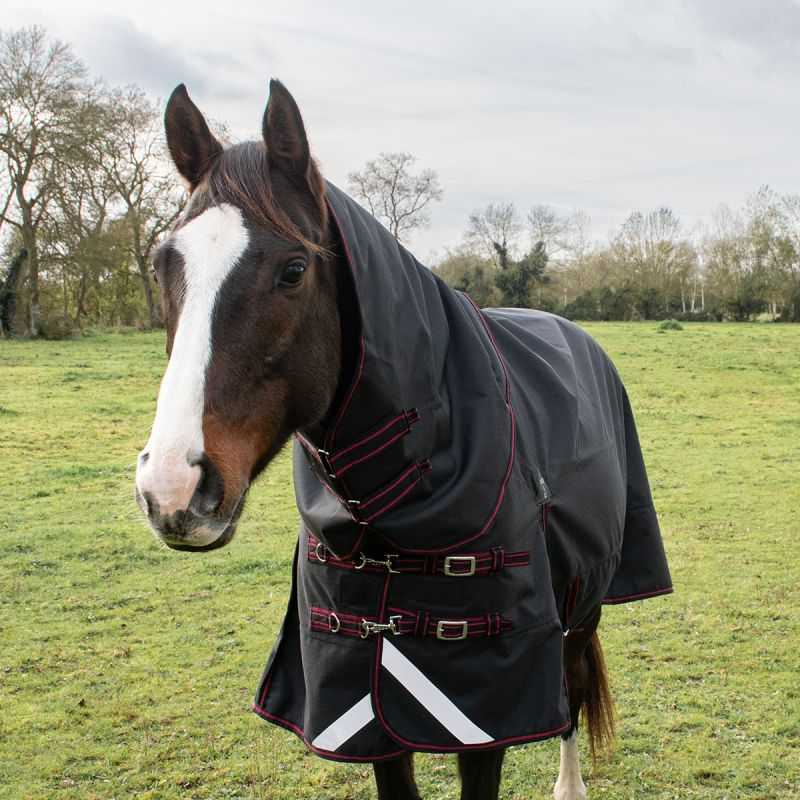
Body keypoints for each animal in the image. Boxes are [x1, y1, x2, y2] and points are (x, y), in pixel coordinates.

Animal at [135, 79, 672, 800]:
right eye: (163, 264)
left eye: (293, 269)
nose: (172, 487)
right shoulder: (361, 709)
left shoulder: (482, 714)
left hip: (586, 597)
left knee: (571, 686)